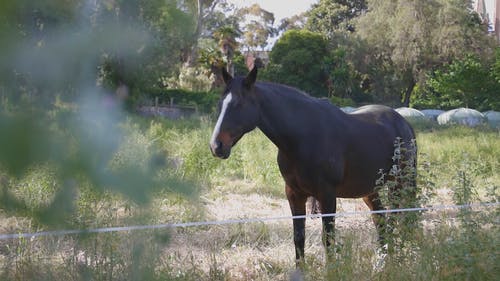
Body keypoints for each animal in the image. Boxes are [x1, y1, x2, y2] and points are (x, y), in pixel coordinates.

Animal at [209, 66, 416, 266]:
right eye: (220, 105)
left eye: (238, 104)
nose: (216, 146)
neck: (303, 137)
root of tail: (403, 123)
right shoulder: (294, 194)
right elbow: (298, 238)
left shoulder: (327, 195)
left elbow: (328, 239)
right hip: (370, 190)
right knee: (380, 220)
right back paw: (382, 261)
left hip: (399, 185)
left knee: (398, 219)